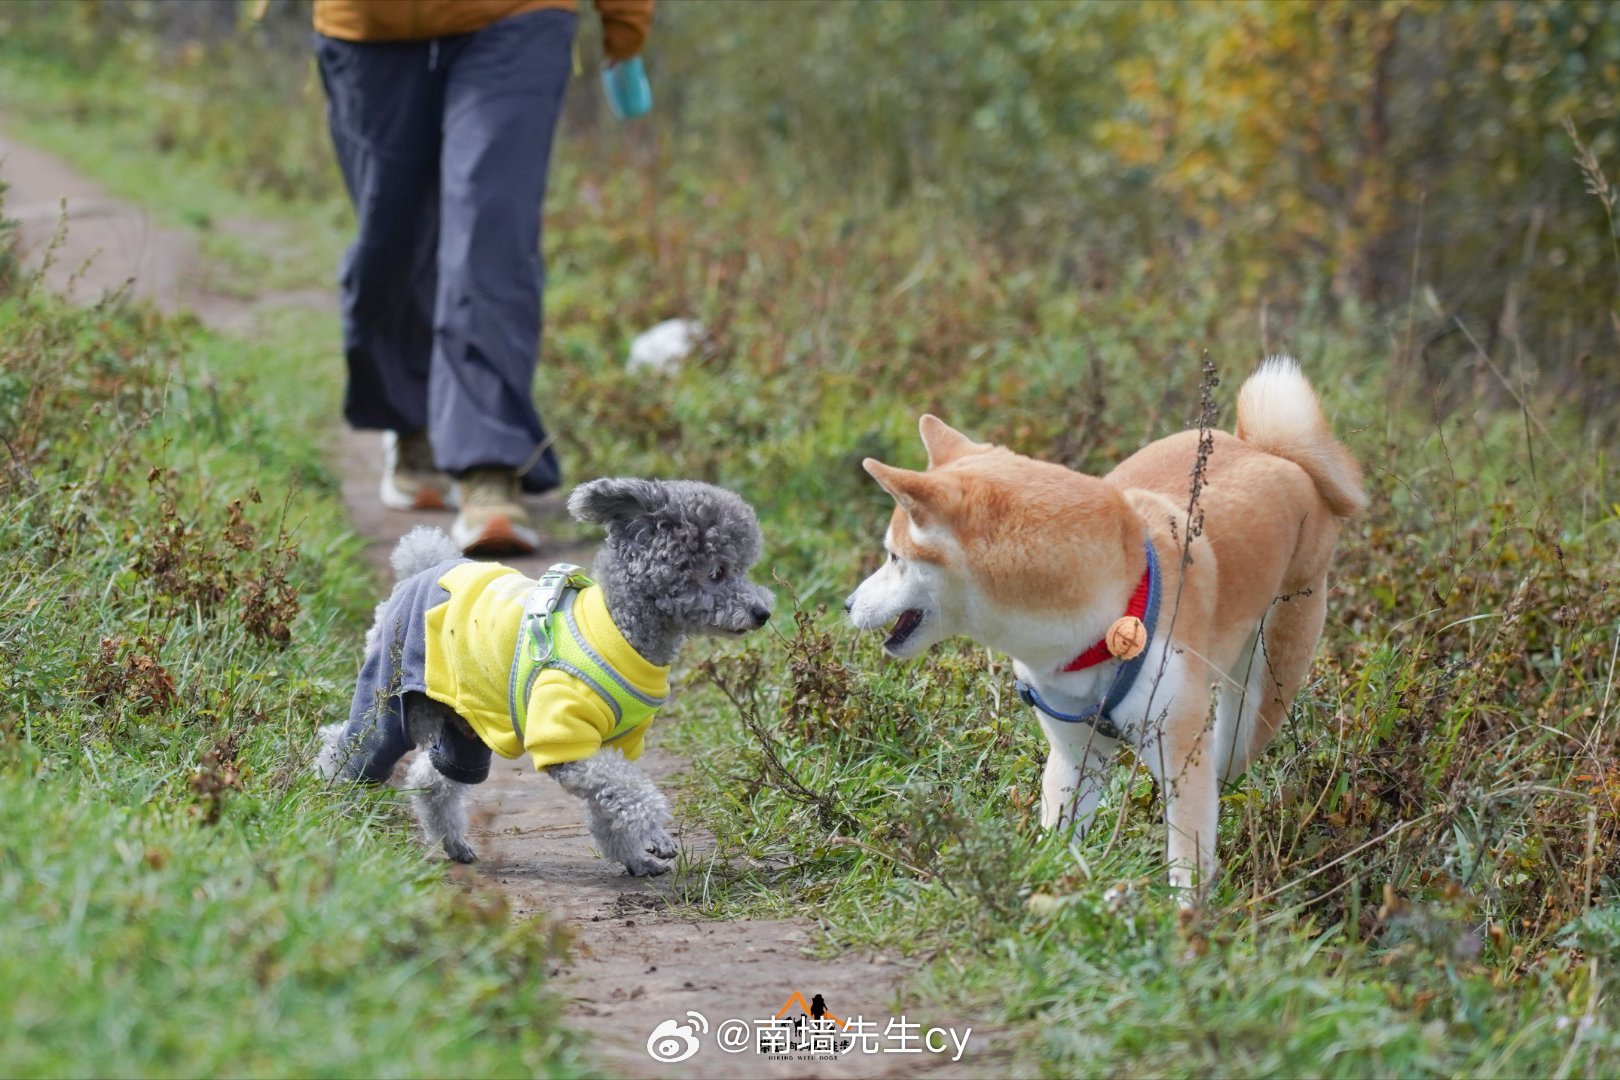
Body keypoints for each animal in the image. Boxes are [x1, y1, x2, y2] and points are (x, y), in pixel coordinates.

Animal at [848, 359, 1367, 893]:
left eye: (893, 557)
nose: (846, 604)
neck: (1099, 625)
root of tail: (1269, 451)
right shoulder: (1075, 756)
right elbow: (1057, 841)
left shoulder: (1181, 756)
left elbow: (1187, 864)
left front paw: (1186, 918)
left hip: (1251, 710)